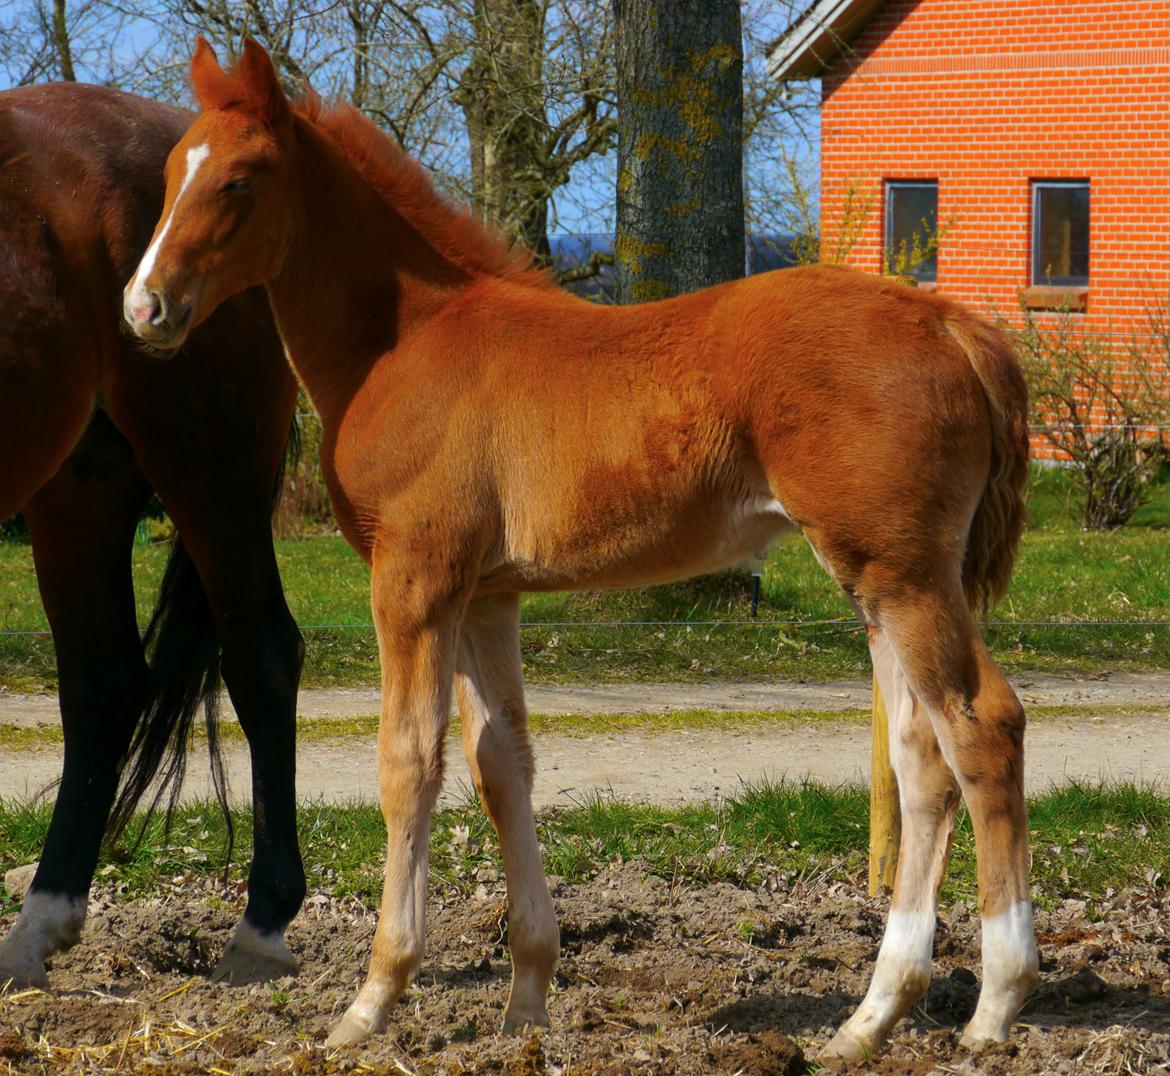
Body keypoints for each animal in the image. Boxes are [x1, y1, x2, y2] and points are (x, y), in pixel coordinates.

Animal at [128, 37, 1038, 1057]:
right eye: (171, 174)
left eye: (239, 180)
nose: (145, 306)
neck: (405, 343)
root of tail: (953, 325)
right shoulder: (486, 594)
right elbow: (501, 765)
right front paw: (526, 999)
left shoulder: (415, 580)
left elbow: (409, 764)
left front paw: (371, 1001)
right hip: (877, 580)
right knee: (922, 762)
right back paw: (869, 1018)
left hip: (904, 575)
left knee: (982, 728)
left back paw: (996, 1004)